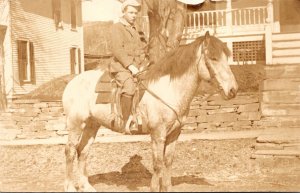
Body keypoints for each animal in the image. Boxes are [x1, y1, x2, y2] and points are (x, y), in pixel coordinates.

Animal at [62, 31, 238, 191]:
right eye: (213, 58)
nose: (233, 90)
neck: (169, 89)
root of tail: (72, 81)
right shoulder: (157, 134)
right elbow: (158, 165)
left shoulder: (174, 134)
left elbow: (168, 162)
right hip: (76, 124)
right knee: (70, 151)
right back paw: (70, 187)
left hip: (92, 125)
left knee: (83, 151)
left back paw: (85, 186)